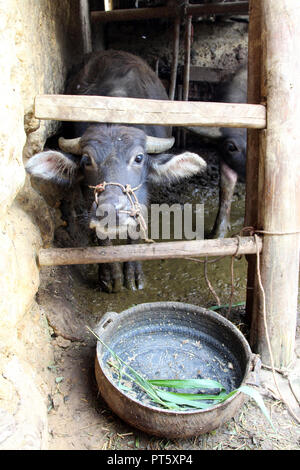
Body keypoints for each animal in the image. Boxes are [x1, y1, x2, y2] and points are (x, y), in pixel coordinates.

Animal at [26, 52, 206, 294]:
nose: (111, 211)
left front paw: (134, 275)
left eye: (138, 158)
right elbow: (102, 239)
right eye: (86, 160)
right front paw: (109, 276)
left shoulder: (141, 196)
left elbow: (136, 232)